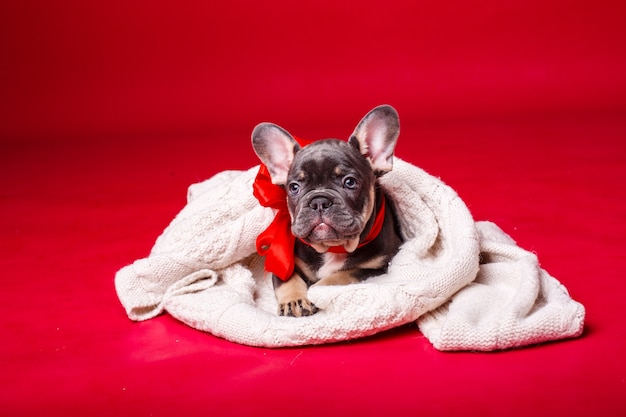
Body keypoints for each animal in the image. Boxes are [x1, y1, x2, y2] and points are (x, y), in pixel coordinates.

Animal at [249, 104, 400, 316]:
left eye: (350, 182)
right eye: (294, 187)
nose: (319, 201)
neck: (332, 247)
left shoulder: (378, 266)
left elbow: (343, 274)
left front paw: (317, 290)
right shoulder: (283, 261)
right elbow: (286, 278)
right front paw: (294, 300)